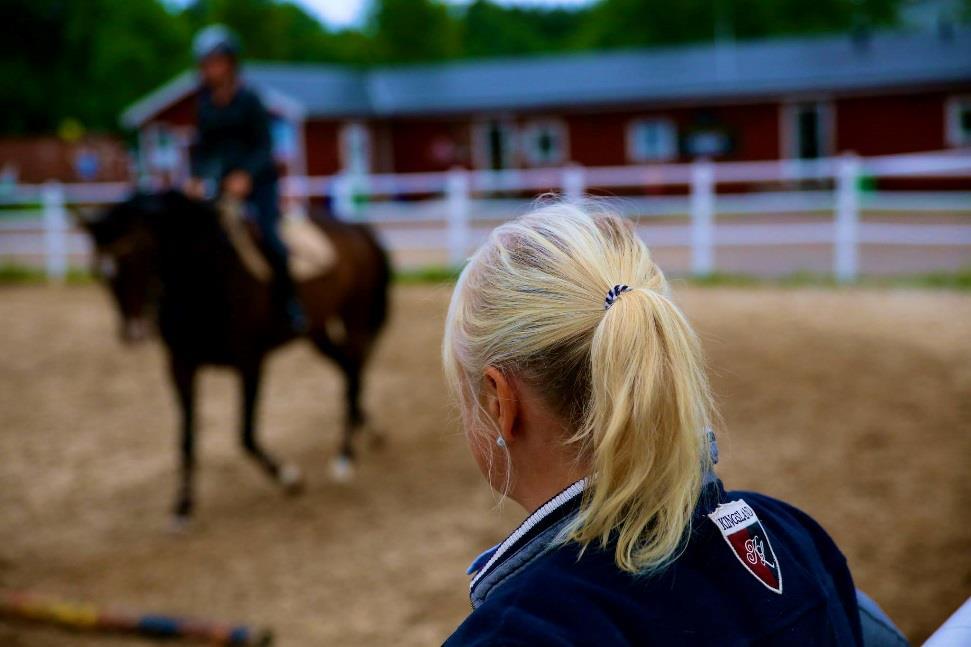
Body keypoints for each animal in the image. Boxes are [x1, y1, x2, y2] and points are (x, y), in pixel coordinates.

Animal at [80, 191, 392, 528]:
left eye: (141, 252)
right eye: (100, 271)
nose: (134, 333)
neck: (208, 278)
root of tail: (358, 229)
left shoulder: (250, 363)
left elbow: (246, 434)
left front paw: (289, 477)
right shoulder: (181, 367)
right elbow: (187, 440)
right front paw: (182, 507)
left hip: (354, 318)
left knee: (355, 371)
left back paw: (345, 456)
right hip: (316, 332)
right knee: (348, 371)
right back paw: (369, 430)